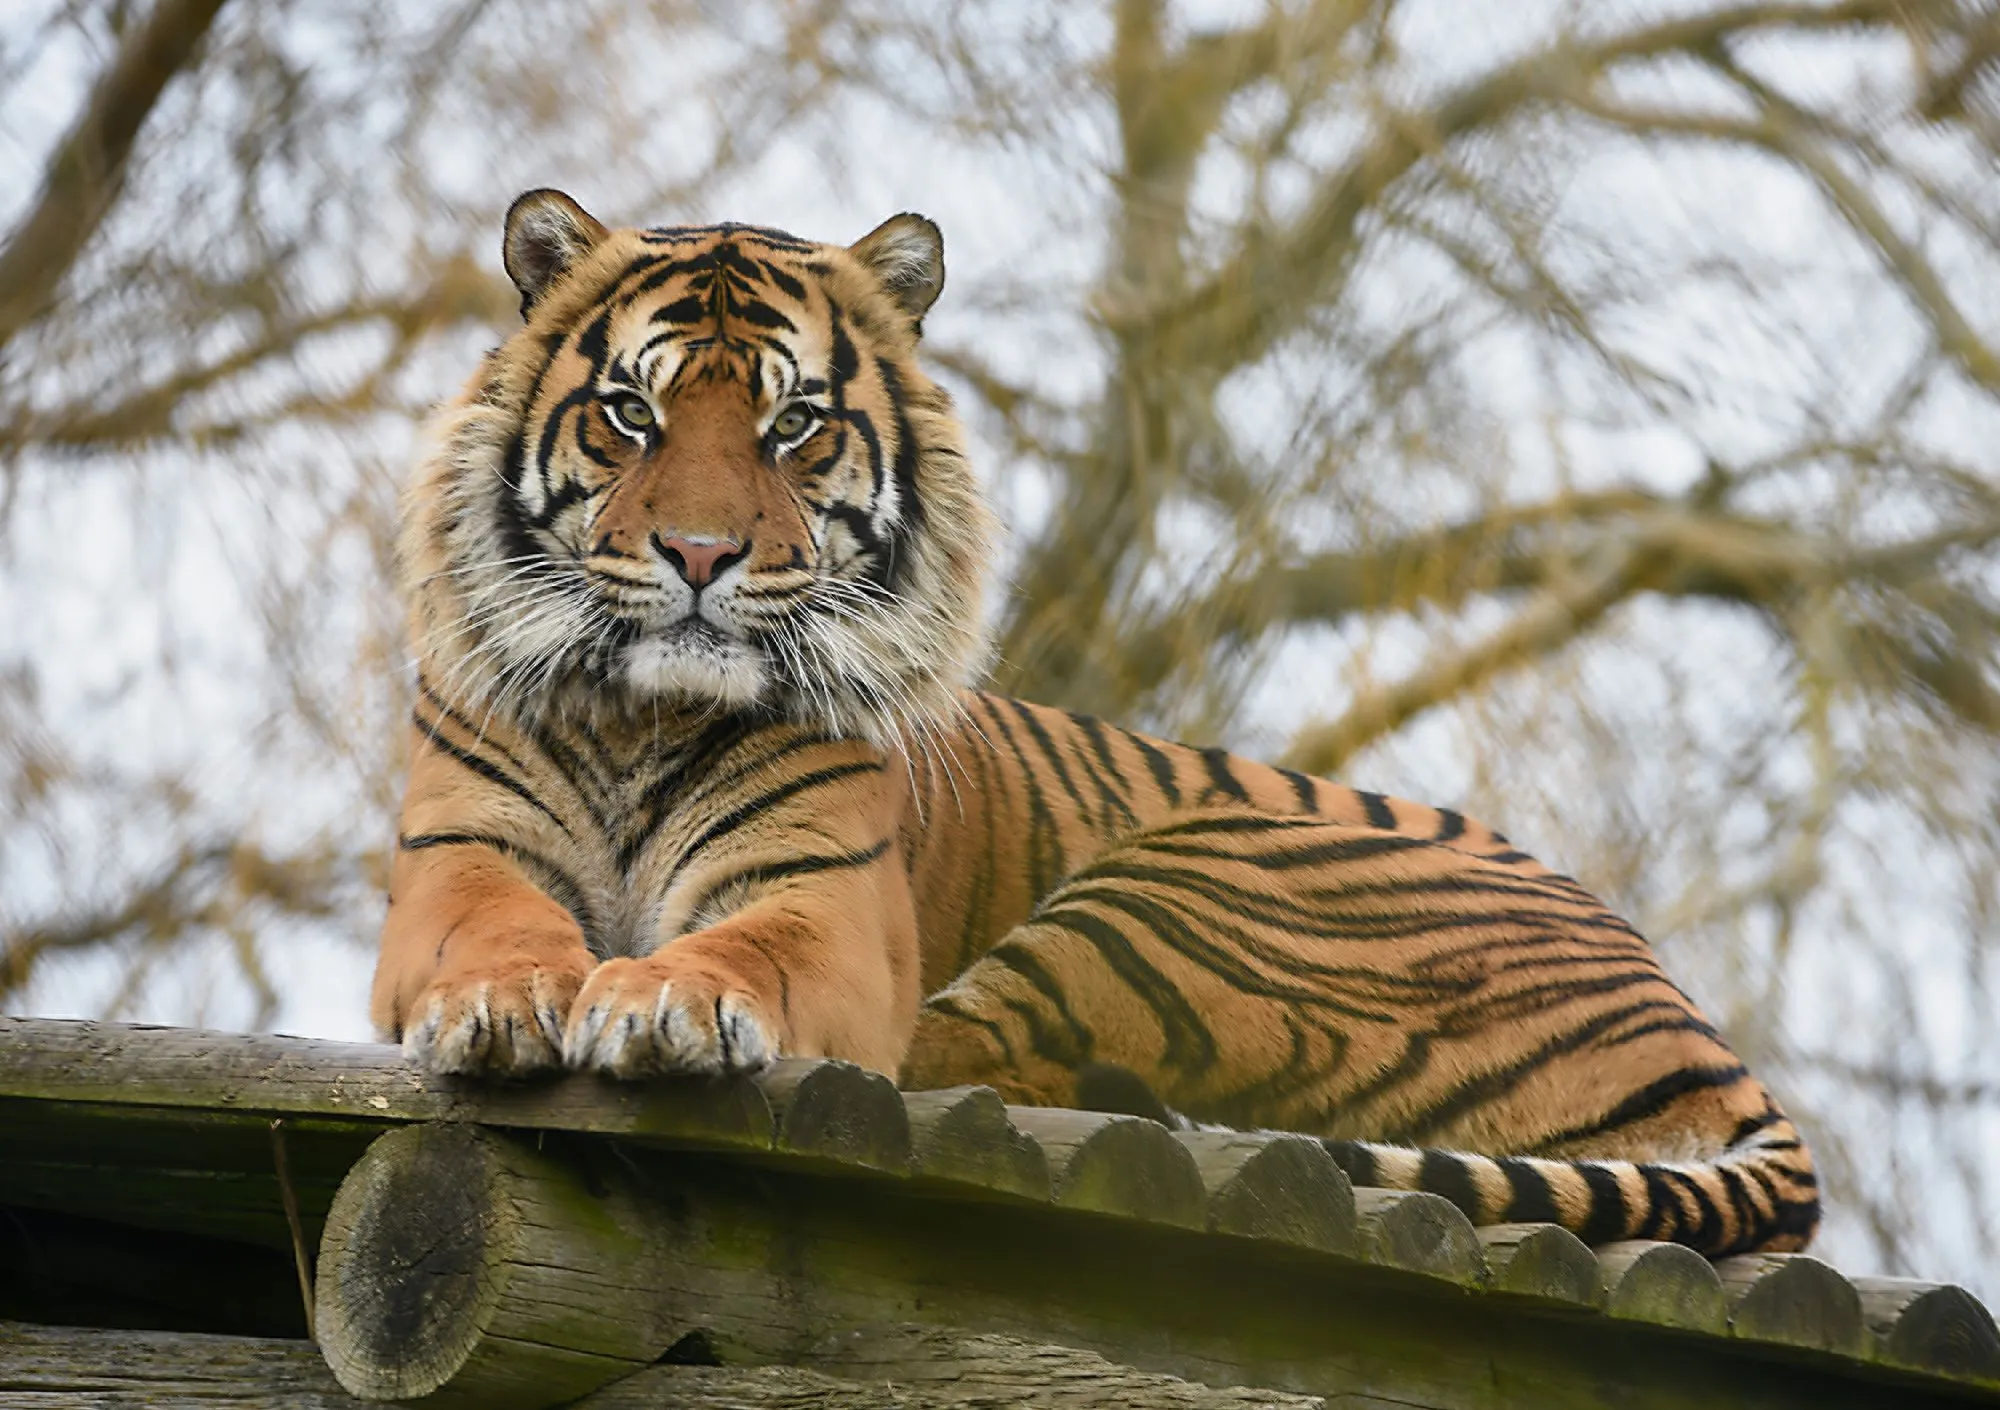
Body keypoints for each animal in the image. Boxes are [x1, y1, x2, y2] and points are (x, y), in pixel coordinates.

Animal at [372, 187, 1820, 1257]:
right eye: (632, 412)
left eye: (794, 425)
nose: (699, 554)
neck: (645, 714)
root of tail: (1707, 1039)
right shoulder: (458, 858)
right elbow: (491, 929)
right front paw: (506, 999)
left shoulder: (826, 905)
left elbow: (744, 950)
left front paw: (662, 996)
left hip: (1186, 885)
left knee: (971, 1056)